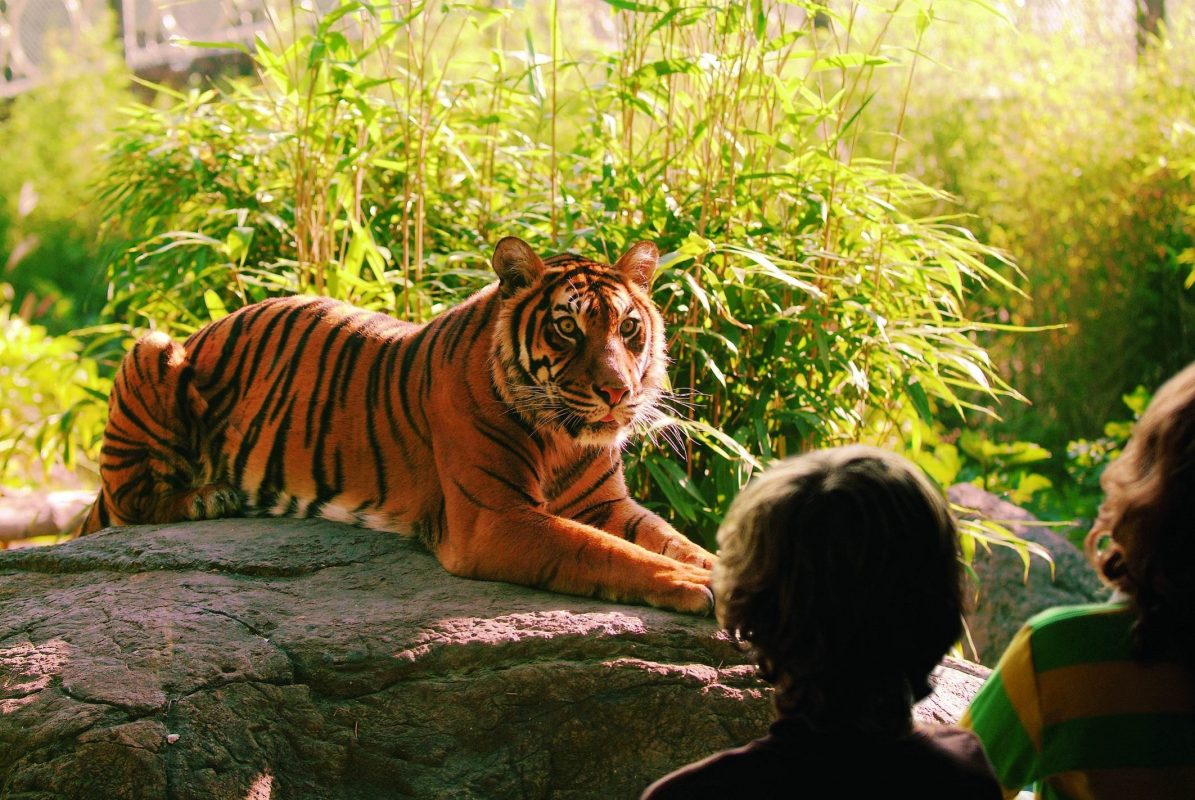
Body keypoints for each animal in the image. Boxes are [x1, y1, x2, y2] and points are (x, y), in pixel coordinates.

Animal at [81, 236, 717, 612]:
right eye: (567, 327)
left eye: (628, 328)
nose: (617, 392)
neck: (564, 440)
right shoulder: (496, 519)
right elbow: (605, 551)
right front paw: (695, 586)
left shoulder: (604, 503)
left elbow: (671, 540)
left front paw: (713, 569)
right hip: (152, 347)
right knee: (131, 502)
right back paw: (211, 497)